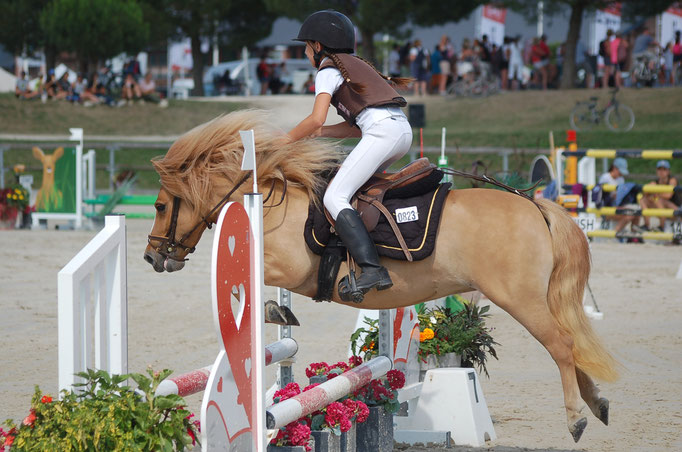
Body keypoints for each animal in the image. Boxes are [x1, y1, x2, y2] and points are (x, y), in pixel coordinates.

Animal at [143, 109, 616, 442]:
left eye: (161, 206)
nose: (152, 257)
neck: (275, 204)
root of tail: (534, 205)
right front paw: (278, 313)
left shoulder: (288, 267)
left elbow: (249, 290)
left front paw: (274, 311)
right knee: (570, 345)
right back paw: (598, 403)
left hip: (520, 298)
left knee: (562, 345)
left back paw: (577, 419)